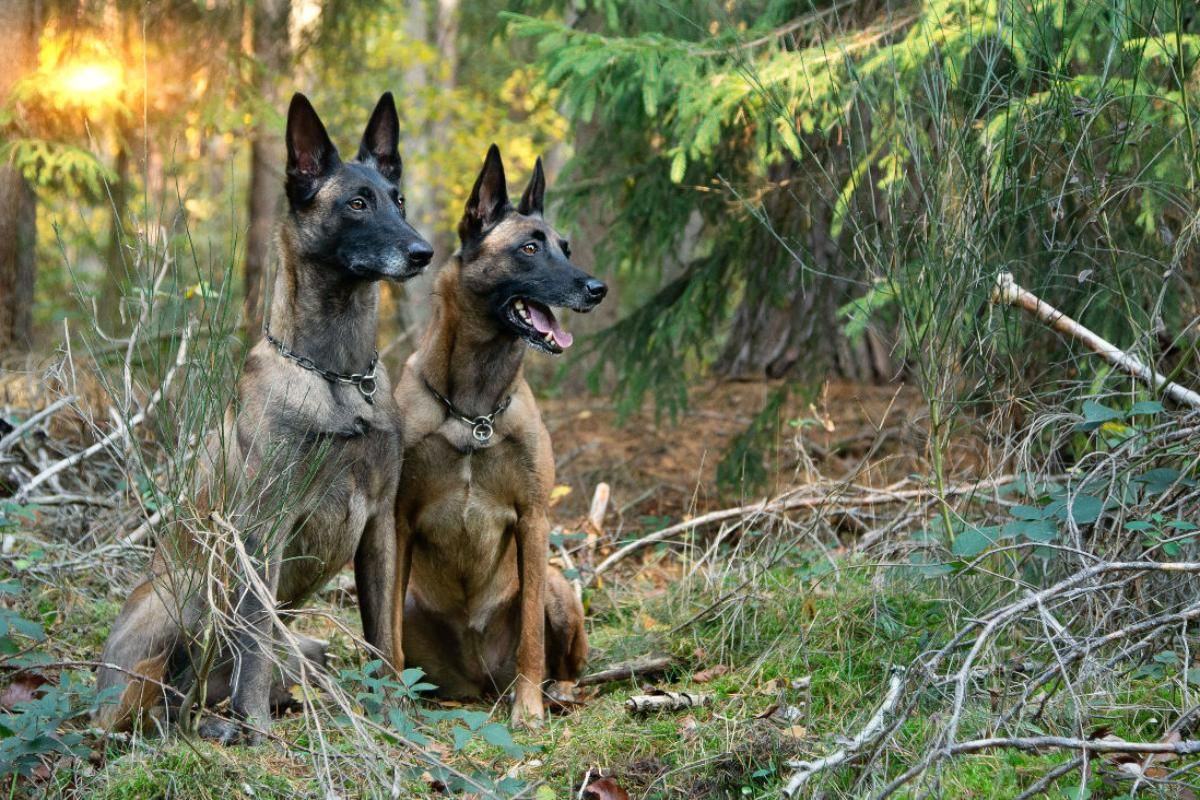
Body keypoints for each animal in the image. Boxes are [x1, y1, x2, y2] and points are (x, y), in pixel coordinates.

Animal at [97, 94, 436, 743]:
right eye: (357, 204)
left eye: (399, 199)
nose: (423, 252)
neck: (336, 377)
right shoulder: (263, 530)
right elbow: (253, 642)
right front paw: (255, 728)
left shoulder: (379, 526)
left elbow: (386, 638)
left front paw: (396, 719)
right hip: (185, 595)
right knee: (148, 704)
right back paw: (212, 722)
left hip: (306, 643)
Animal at [388, 143, 604, 724]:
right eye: (529, 248)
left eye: (565, 248)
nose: (597, 288)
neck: (473, 411)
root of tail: (479, 679)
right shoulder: (396, 523)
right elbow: (384, 631)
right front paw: (387, 700)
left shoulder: (533, 520)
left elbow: (531, 634)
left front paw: (527, 709)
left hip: (558, 588)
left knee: (567, 662)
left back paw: (555, 692)